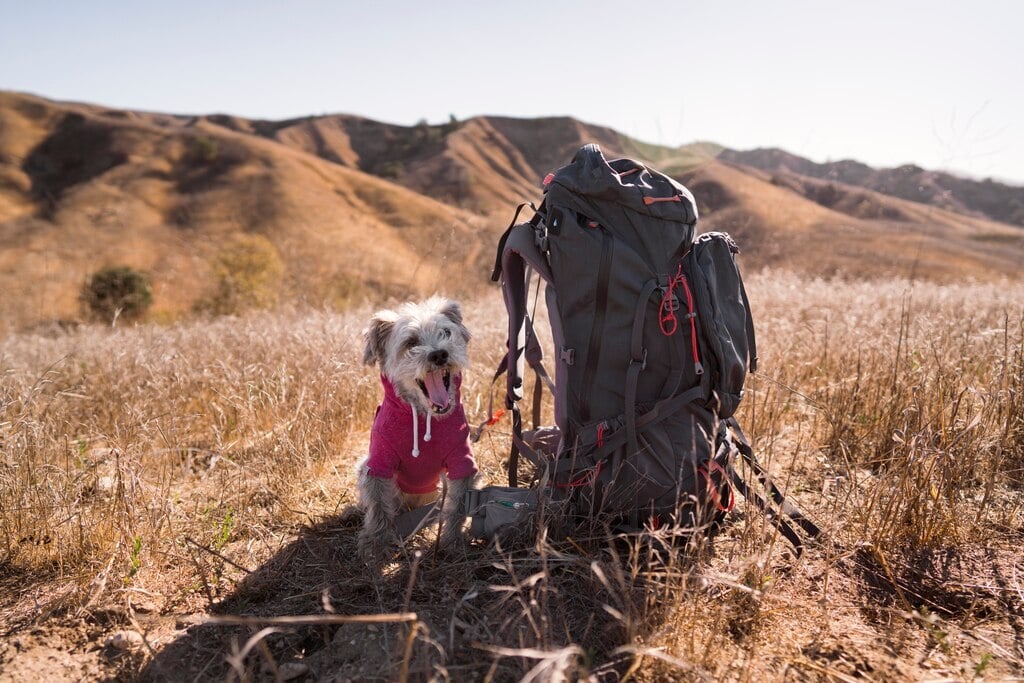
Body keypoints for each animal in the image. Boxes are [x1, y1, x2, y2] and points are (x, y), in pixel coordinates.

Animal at [356, 294, 475, 561]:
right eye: (411, 343)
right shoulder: (378, 461)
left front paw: (452, 541)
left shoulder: (462, 460)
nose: (439, 354)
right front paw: (376, 545)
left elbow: (458, 505)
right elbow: (378, 507)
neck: (423, 416)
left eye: (445, 332)